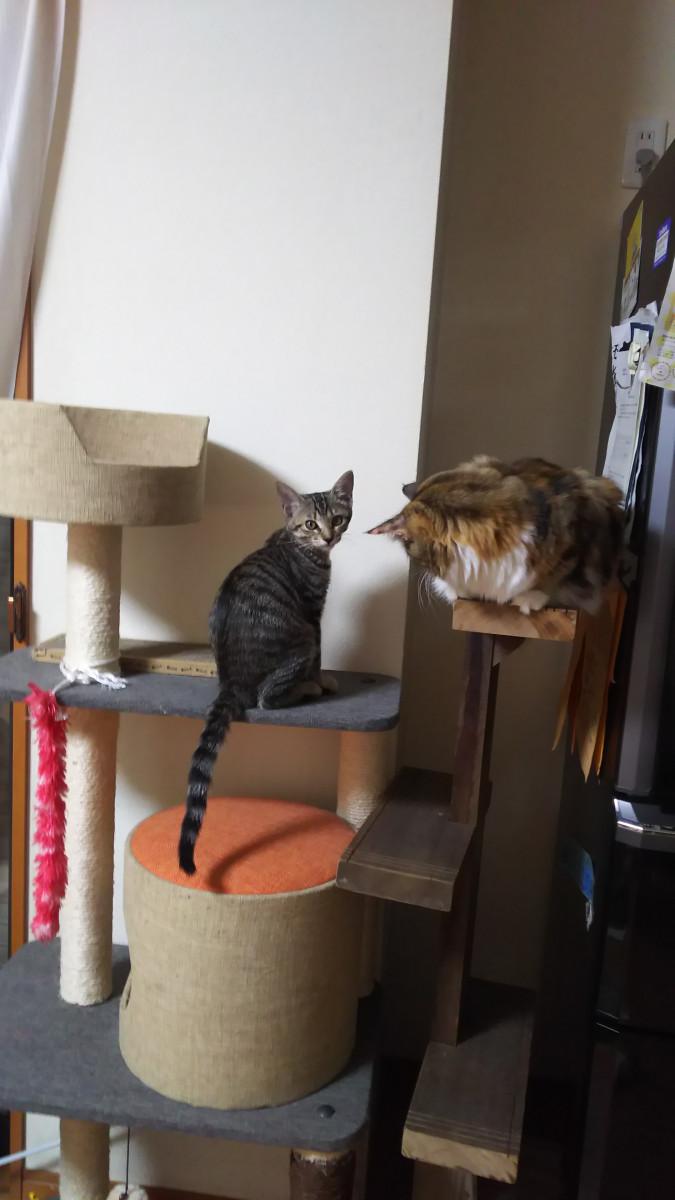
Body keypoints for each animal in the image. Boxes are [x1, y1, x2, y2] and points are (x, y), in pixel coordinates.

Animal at [178, 470, 354, 875]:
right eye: (310, 524)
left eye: (338, 519)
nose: (328, 536)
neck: (296, 542)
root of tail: (231, 681)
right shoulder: (312, 614)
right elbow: (321, 652)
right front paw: (321, 680)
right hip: (299, 640)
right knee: (265, 699)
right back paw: (306, 688)